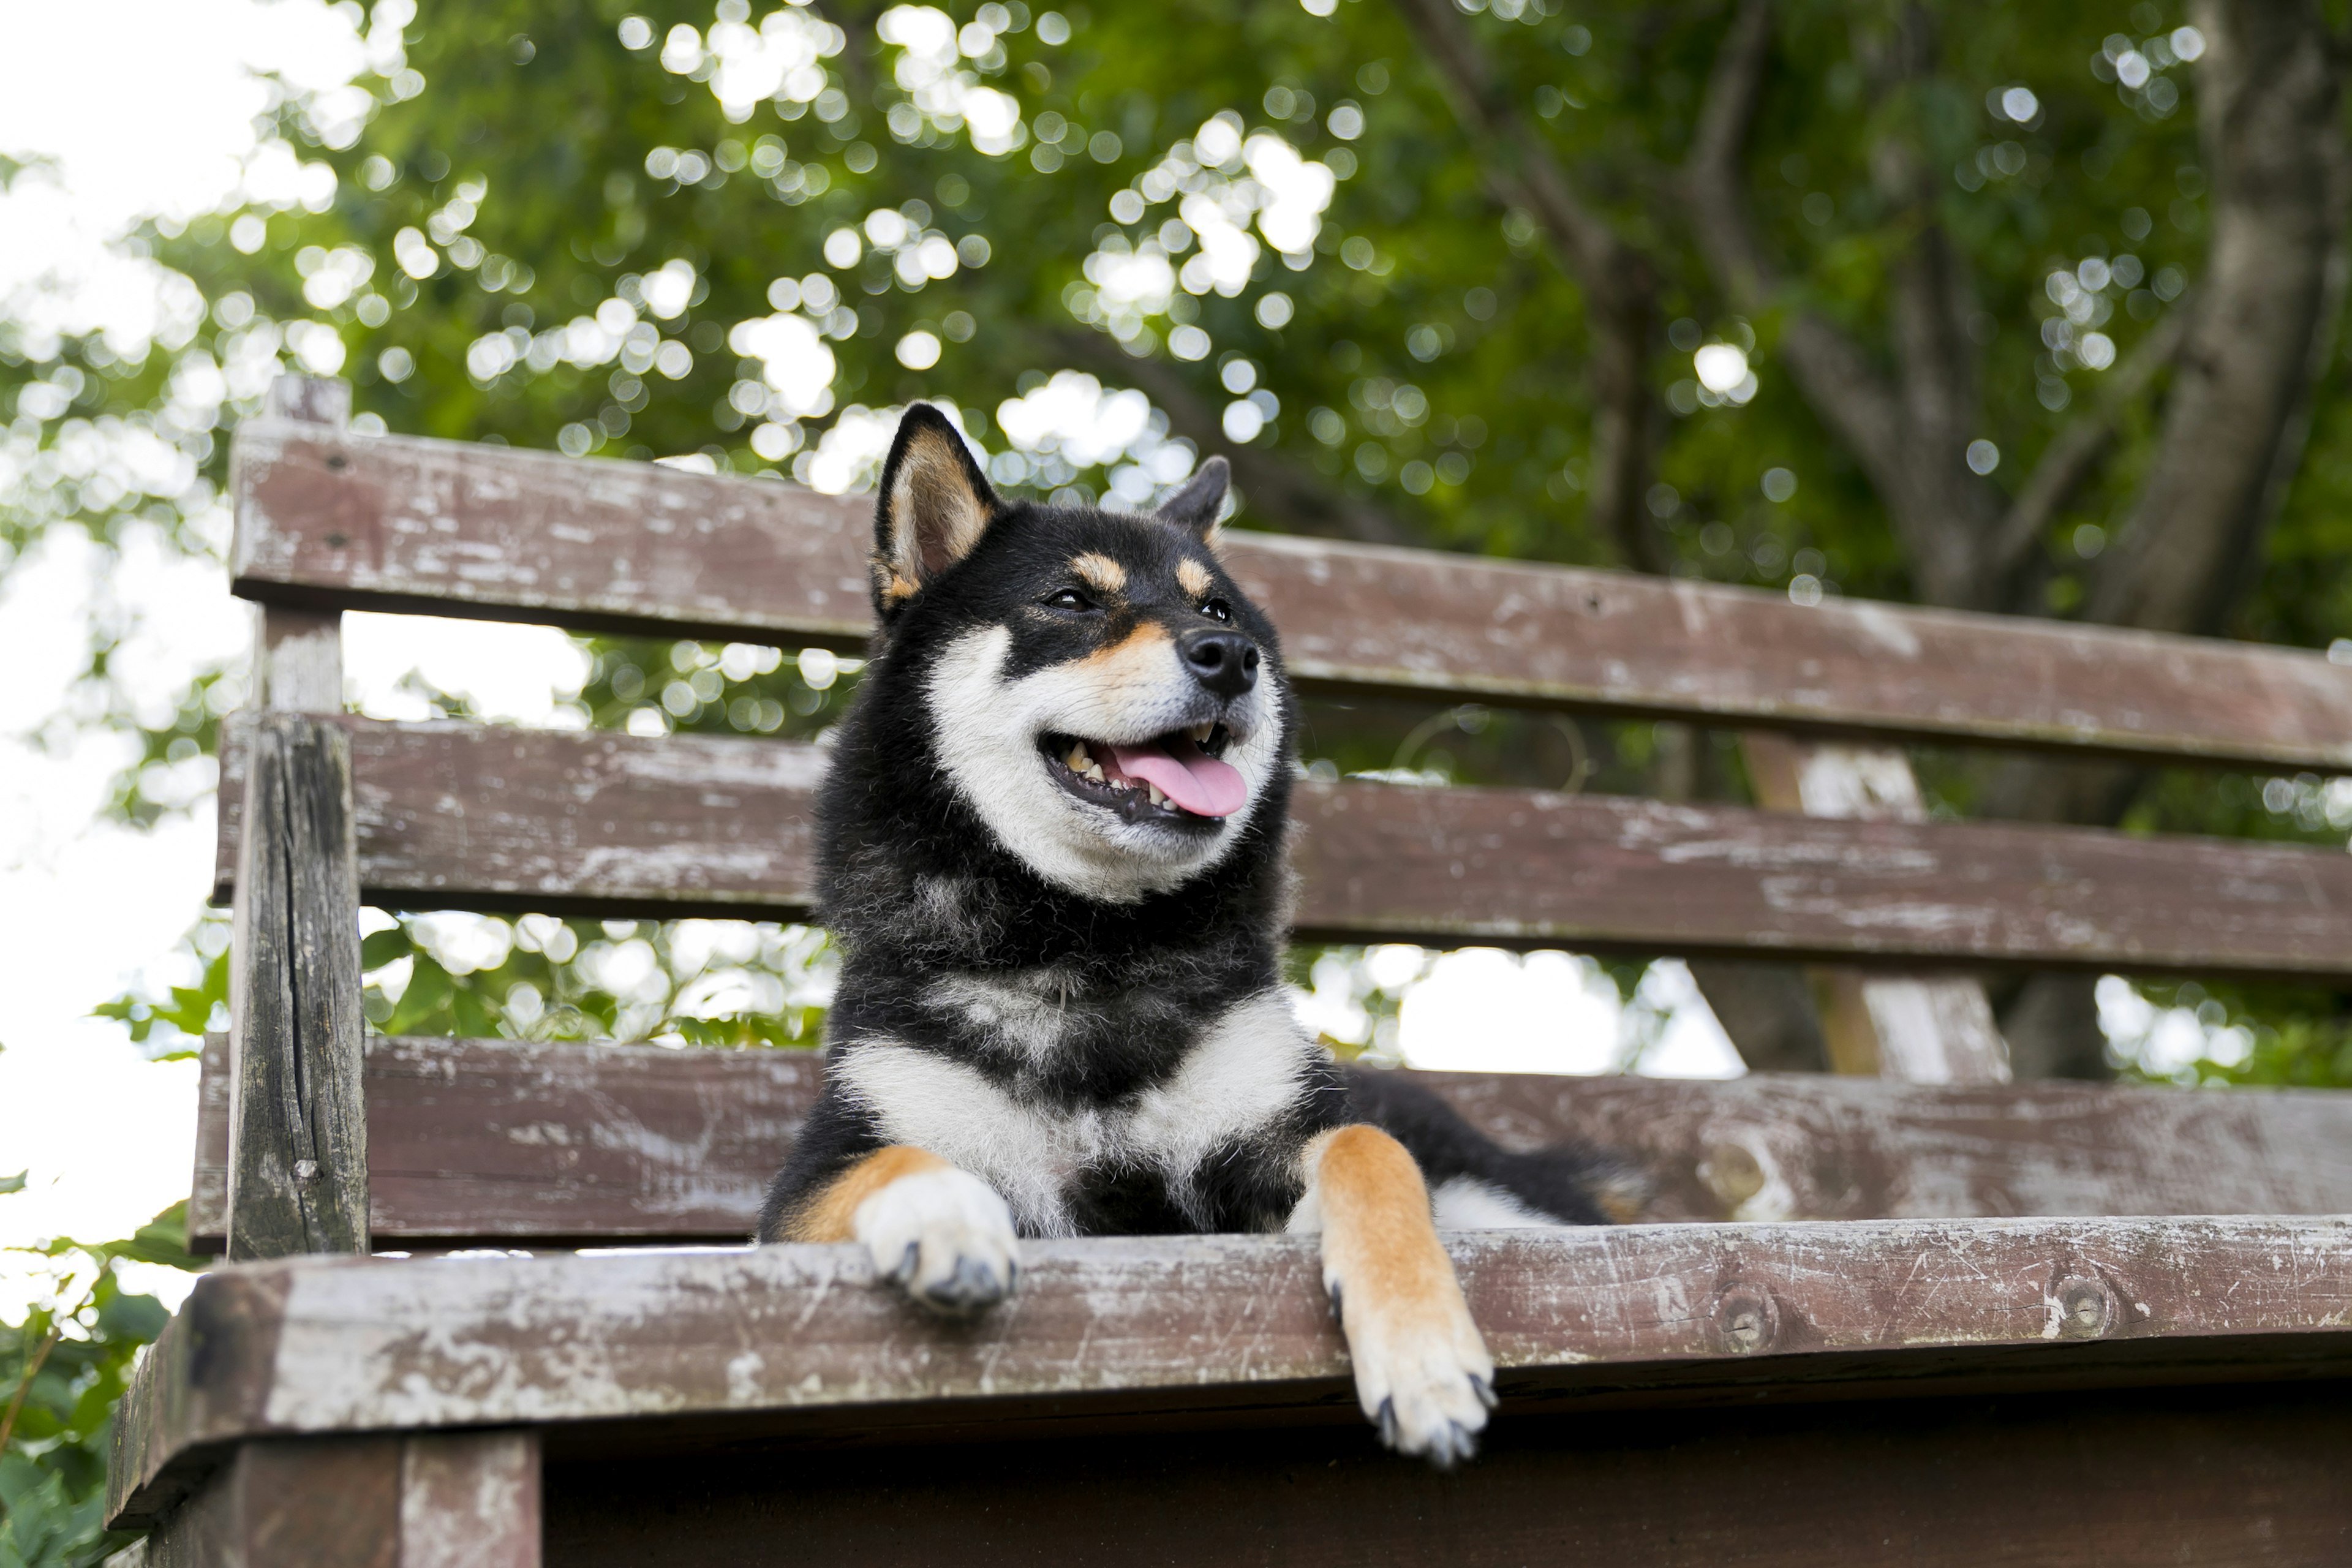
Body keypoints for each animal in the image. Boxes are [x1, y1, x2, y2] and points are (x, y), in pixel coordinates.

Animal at [762, 409, 1627, 1476]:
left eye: (1217, 606)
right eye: (1070, 600)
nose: (1230, 655)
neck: (1092, 946)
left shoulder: (1263, 1154)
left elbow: (1370, 1151)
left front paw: (1423, 1355)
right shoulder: (804, 1196)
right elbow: (893, 1164)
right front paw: (947, 1215)